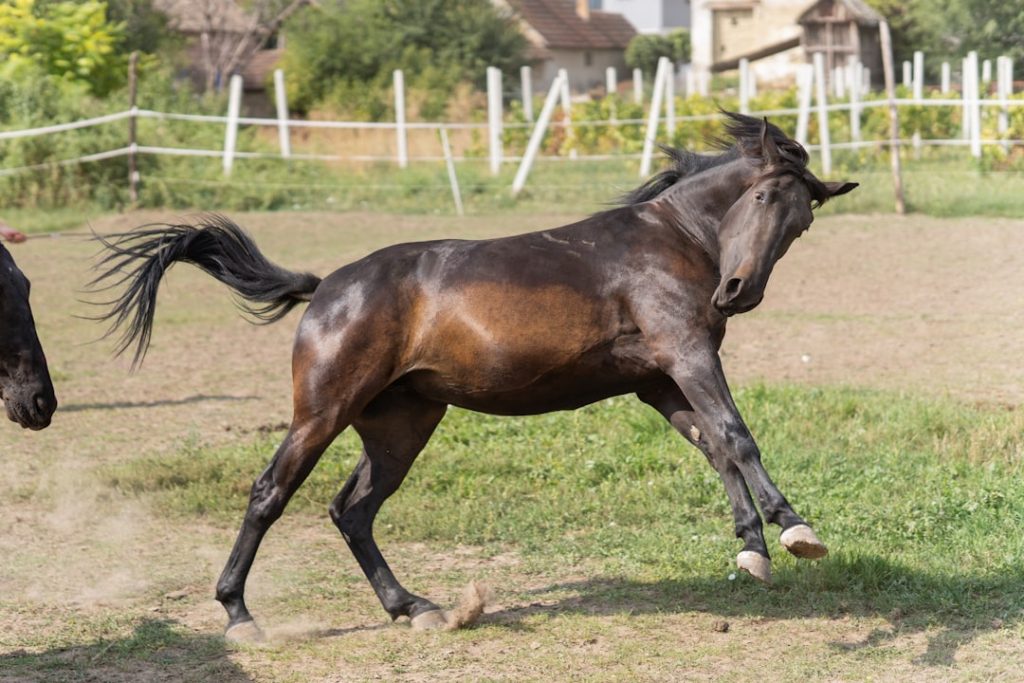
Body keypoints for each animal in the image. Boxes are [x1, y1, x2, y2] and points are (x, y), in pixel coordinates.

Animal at [92, 113, 856, 640]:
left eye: (801, 223)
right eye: (761, 198)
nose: (737, 291)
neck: (668, 241)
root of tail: (326, 286)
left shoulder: (661, 378)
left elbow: (717, 446)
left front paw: (753, 548)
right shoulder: (688, 354)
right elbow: (737, 435)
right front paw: (795, 530)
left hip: (400, 425)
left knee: (351, 510)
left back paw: (416, 608)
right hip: (322, 411)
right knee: (269, 494)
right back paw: (239, 615)